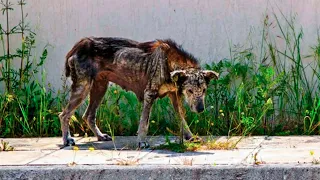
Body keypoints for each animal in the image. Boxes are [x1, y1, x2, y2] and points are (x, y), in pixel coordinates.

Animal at [58, 37, 219, 148]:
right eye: (190, 91)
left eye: (204, 90)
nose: (201, 109)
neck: (168, 61)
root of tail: (79, 44)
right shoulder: (150, 94)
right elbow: (144, 122)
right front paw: (142, 142)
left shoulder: (175, 95)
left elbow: (182, 119)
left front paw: (190, 137)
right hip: (83, 87)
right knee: (64, 114)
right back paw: (67, 139)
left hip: (100, 88)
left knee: (88, 115)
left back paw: (100, 136)